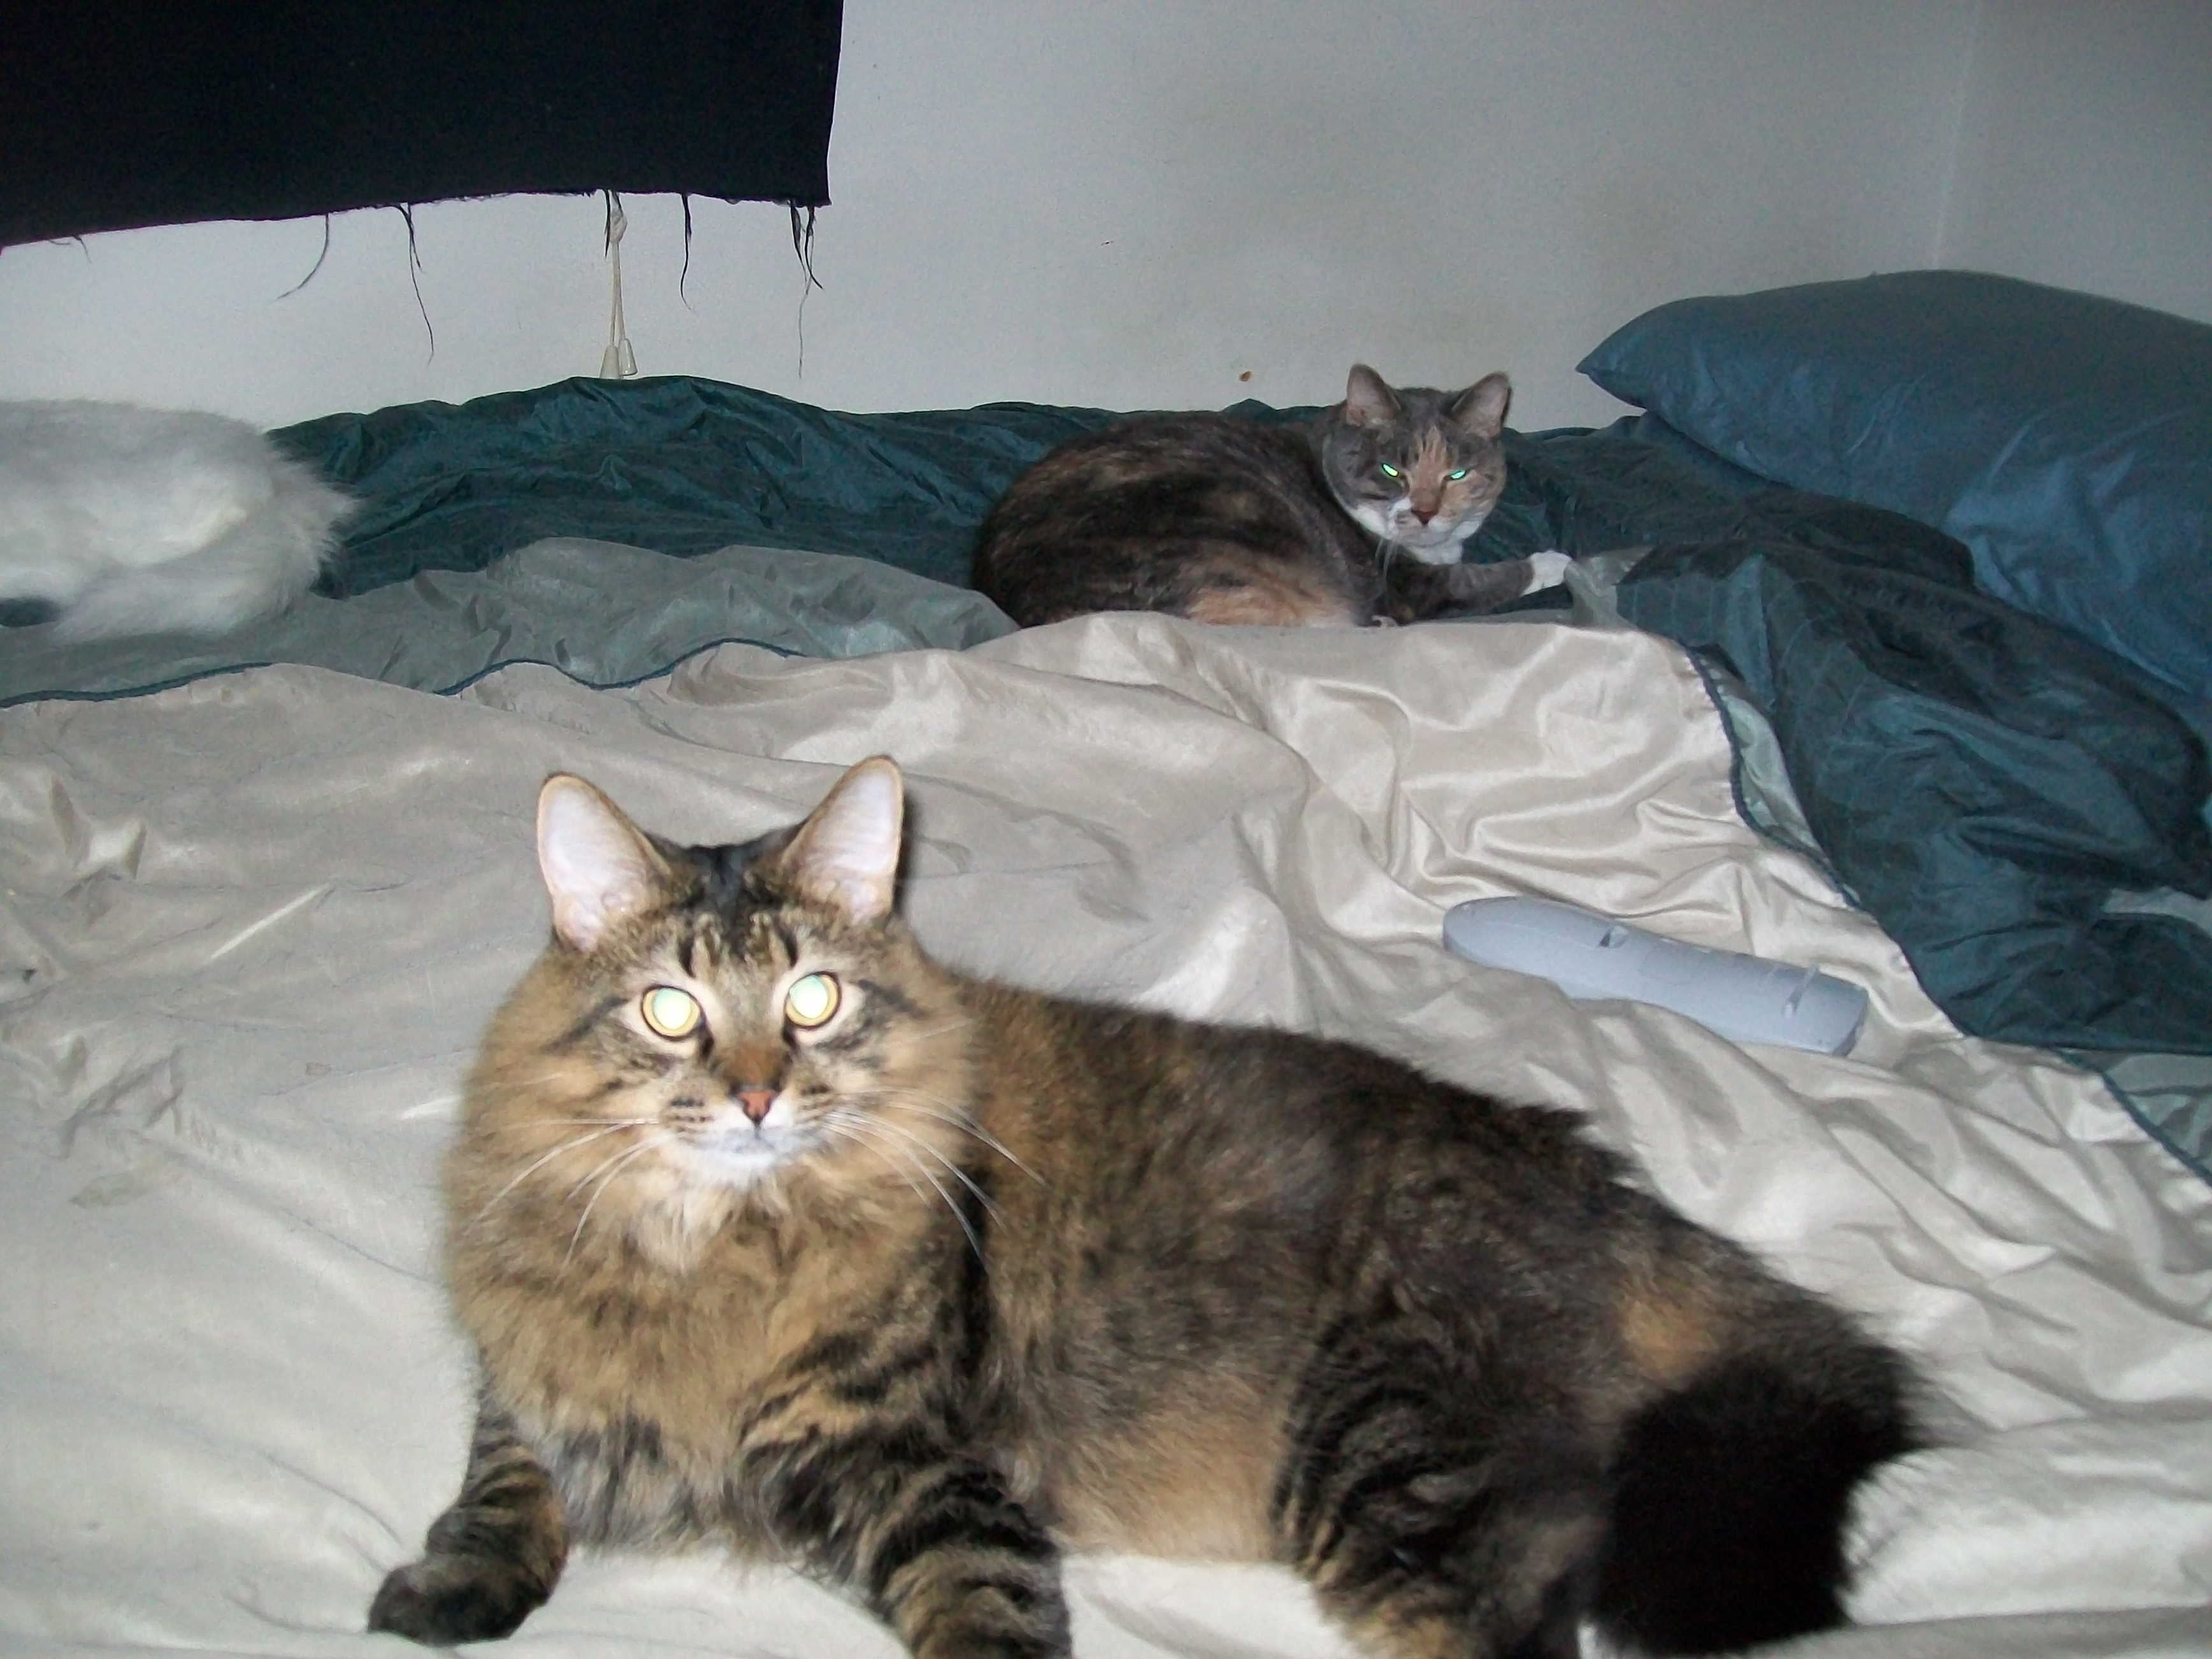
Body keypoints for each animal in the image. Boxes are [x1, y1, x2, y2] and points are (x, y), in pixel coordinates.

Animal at [371, 758, 1917, 1659]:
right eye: (671, 1012)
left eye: (810, 1000)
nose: (756, 1097)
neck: (712, 1254)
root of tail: (1577, 1167)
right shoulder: (535, 1380)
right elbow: (495, 1491)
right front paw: (448, 1589)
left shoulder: (922, 1468)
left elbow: (982, 1622)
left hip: (1384, 1459)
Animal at [971, 365, 1571, 628]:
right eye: (1391, 470)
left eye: (1457, 473)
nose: (1424, 514)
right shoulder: (1412, 587)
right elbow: (1482, 581)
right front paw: (1555, 562)